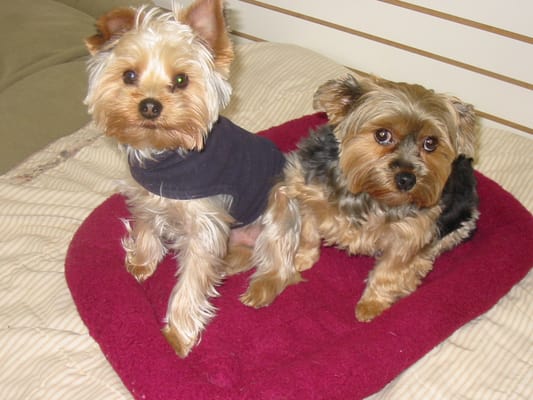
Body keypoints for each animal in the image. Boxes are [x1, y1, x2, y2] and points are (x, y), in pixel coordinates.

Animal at [83, 0, 284, 356]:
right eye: (129, 75)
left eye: (181, 79)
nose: (150, 106)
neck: (165, 156)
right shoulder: (144, 195)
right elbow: (146, 226)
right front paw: (142, 261)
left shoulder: (204, 226)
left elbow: (191, 281)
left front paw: (177, 334)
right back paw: (227, 263)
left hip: (280, 199)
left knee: (279, 258)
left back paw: (263, 285)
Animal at [241, 74, 478, 322]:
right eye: (382, 135)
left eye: (430, 143)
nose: (406, 179)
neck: (367, 194)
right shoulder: (305, 190)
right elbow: (307, 232)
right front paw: (301, 259)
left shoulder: (411, 232)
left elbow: (389, 270)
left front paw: (371, 304)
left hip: (462, 218)